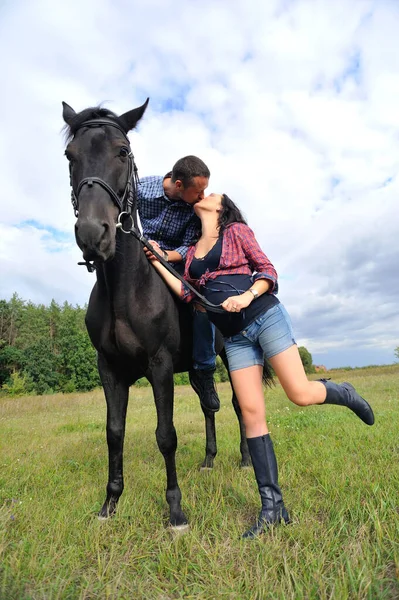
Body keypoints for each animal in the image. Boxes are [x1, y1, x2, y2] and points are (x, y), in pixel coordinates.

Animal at [62, 98, 262, 528]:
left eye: (122, 152)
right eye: (70, 155)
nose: (93, 234)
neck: (125, 290)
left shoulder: (160, 366)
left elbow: (165, 435)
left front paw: (176, 512)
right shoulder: (110, 369)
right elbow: (114, 432)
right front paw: (109, 505)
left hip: (228, 354)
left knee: (238, 405)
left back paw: (242, 459)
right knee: (208, 405)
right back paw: (208, 460)